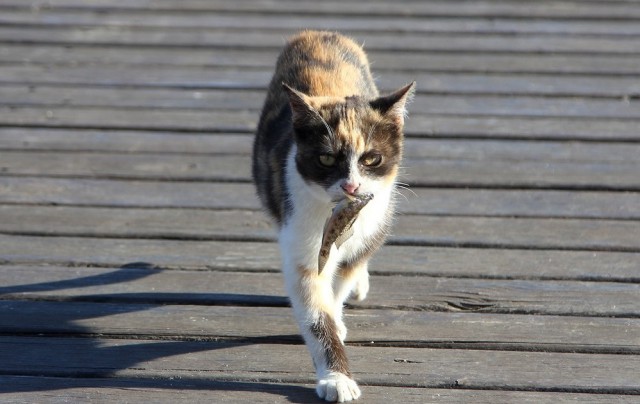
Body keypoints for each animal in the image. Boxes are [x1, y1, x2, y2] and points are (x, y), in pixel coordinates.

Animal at [252, 30, 412, 400]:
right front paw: (336, 377)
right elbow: (316, 308)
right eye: (326, 159)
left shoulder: (372, 219)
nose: (351, 186)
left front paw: (338, 315)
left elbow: (340, 282)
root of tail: (316, 33)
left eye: (371, 159)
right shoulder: (302, 234)